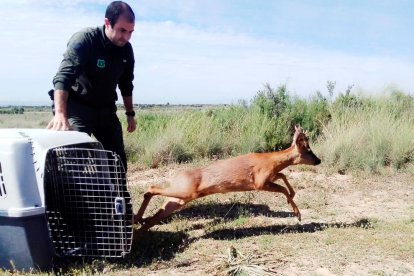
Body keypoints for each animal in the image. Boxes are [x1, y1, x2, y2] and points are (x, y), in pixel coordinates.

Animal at [134, 125, 322, 231]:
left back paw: (137, 224)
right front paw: (297, 213)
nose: (319, 160)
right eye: (308, 150)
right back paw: (137, 219)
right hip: (185, 192)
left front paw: (293, 197)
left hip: (177, 200)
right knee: (151, 188)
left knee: (152, 217)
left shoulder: (269, 177)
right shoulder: (260, 182)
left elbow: (283, 176)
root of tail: (177, 176)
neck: (272, 160)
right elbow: (282, 187)